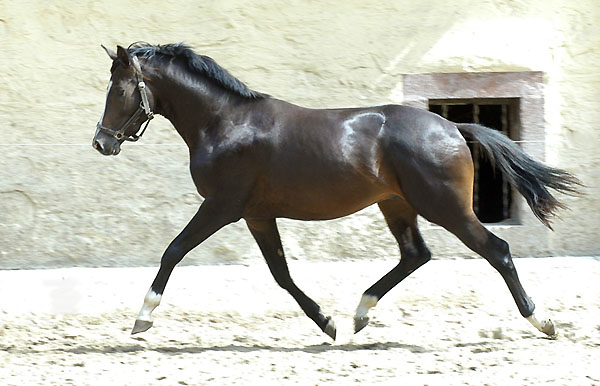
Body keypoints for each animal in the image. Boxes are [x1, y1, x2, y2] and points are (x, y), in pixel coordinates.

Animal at [94, 43, 580, 340]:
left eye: (120, 89)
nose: (101, 143)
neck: (225, 123)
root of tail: (452, 127)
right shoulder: (256, 214)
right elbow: (281, 274)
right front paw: (326, 323)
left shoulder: (221, 206)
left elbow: (173, 250)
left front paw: (142, 318)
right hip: (397, 205)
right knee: (415, 254)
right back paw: (360, 313)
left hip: (445, 207)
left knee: (497, 250)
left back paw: (543, 321)